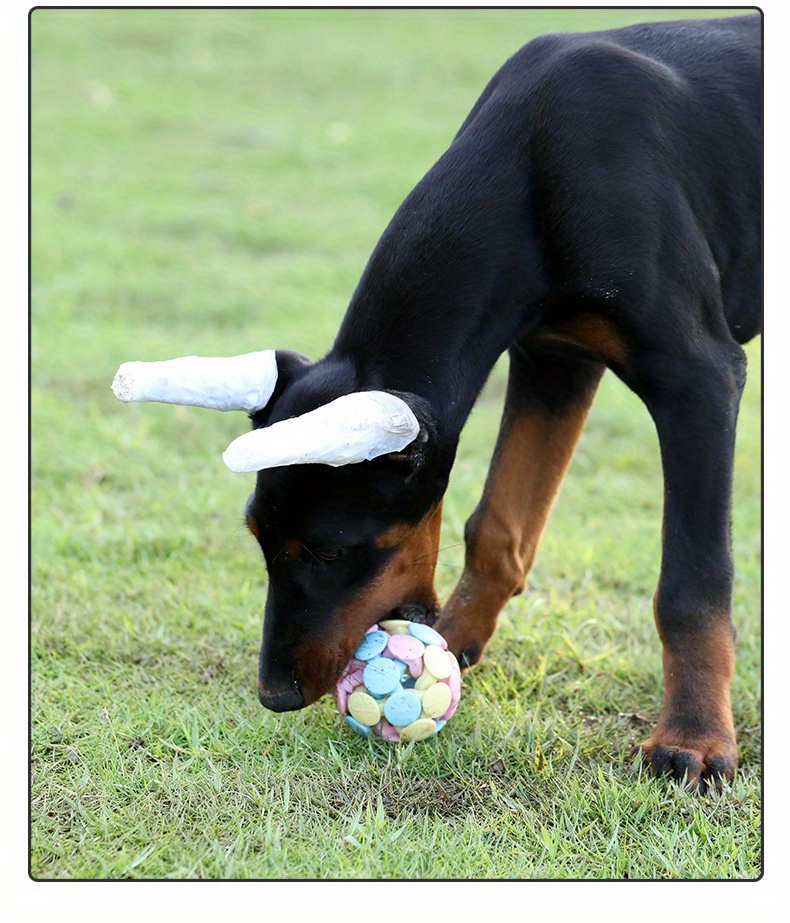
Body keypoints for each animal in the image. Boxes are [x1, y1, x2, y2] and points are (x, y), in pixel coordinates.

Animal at [114, 14, 764, 796]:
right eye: (258, 538)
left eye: (330, 551)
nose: (275, 694)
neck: (537, 160)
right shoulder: (555, 356)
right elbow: (498, 526)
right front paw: (450, 644)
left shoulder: (698, 377)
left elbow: (692, 581)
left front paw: (693, 738)